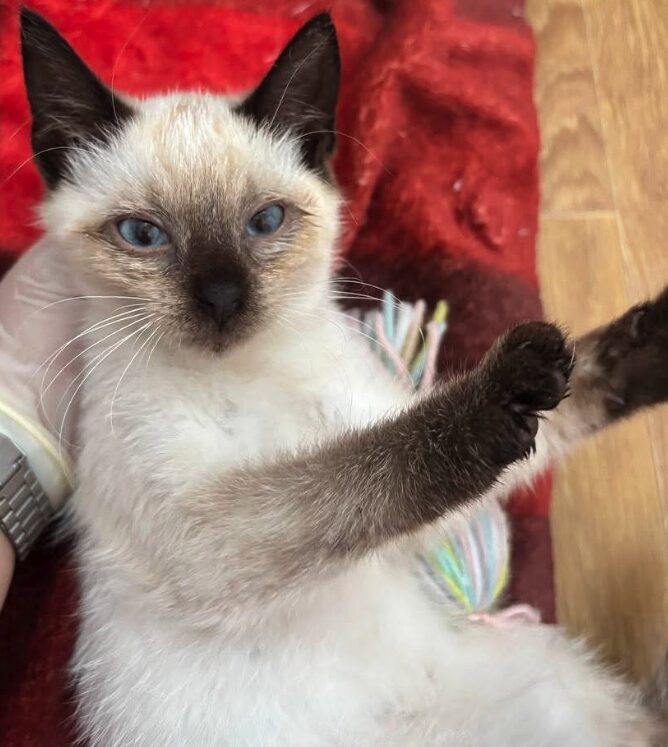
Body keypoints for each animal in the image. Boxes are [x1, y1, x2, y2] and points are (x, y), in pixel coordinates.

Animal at [19, 7, 668, 747]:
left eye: (266, 222)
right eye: (142, 235)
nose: (222, 300)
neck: (249, 367)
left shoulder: (383, 474)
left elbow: (568, 392)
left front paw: (656, 335)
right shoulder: (210, 531)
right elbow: (361, 469)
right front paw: (495, 400)